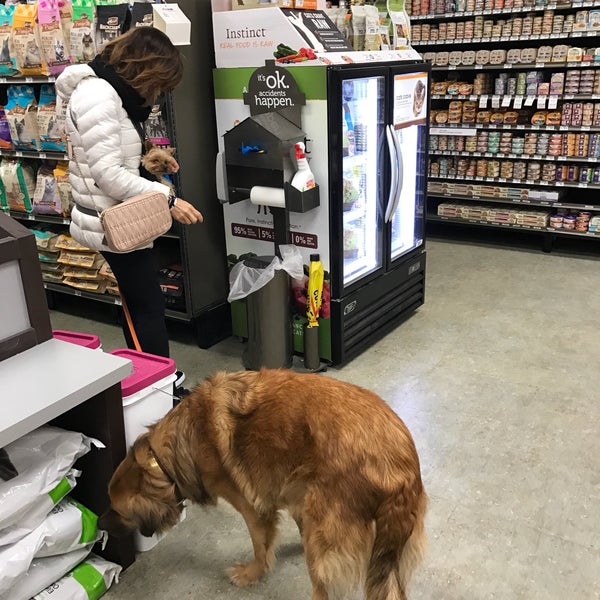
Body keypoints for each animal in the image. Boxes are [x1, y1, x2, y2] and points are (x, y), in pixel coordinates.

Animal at [98, 369, 427, 600]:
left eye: (117, 510)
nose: (99, 524)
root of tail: (401, 466)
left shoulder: (253, 508)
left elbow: (260, 546)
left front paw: (252, 574)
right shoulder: (295, 494)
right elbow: (295, 524)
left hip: (326, 542)